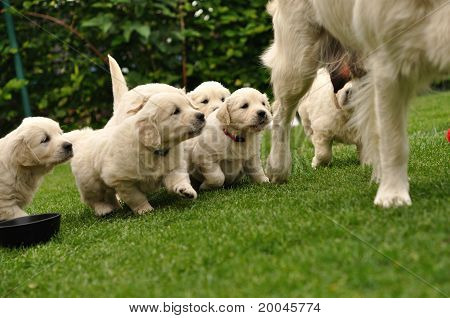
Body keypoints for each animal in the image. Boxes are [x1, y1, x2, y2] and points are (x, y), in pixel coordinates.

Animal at [67, 92, 206, 216]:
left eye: (188, 105)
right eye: (175, 111)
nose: (202, 115)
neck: (154, 150)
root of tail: (82, 137)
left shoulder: (173, 168)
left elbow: (179, 179)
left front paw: (186, 191)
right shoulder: (122, 180)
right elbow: (136, 197)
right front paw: (145, 210)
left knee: (109, 195)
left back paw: (116, 207)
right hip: (90, 182)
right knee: (94, 198)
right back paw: (104, 210)